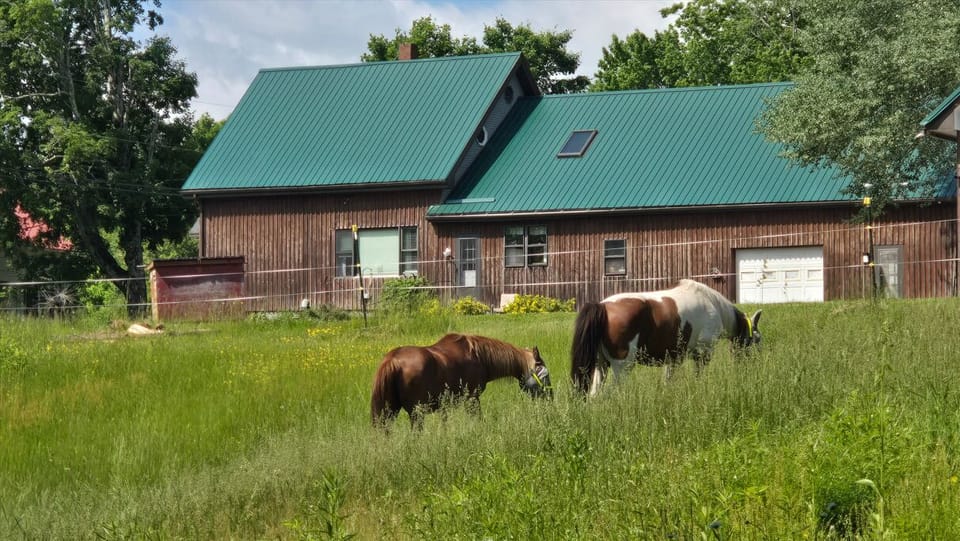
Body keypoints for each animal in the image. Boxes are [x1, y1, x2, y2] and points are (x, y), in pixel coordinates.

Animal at [371, 333, 552, 429]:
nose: (550, 398)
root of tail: (392, 360)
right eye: (545, 375)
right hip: (417, 413)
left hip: (389, 412)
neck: (479, 357)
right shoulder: (472, 399)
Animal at [571, 279, 761, 396]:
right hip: (622, 367)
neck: (712, 304)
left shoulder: (674, 358)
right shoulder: (703, 352)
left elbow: (667, 381)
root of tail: (602, 306)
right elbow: (699, 376)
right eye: (757, 339)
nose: (753, 366)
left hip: (601, 365)